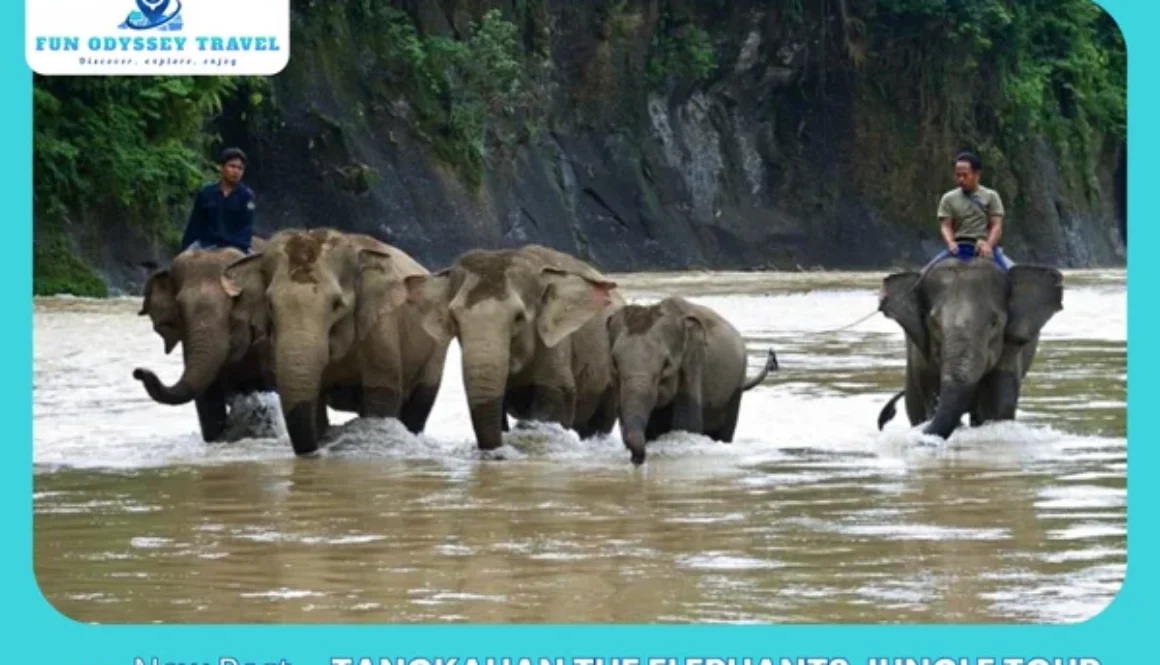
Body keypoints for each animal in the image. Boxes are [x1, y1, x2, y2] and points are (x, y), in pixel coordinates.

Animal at [220, 228, 451, 455]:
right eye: (269, 304)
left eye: (336, 304)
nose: (312, 452)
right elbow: (317, 401)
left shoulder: (381, 329)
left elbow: (382, 395)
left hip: (436, 349)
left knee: (419, 404)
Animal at [607, 296, 779, 465]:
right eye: (614, 362)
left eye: (666, 364)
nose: (636, 460)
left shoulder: (693, 361)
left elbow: (688, 424)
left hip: (736, 385)